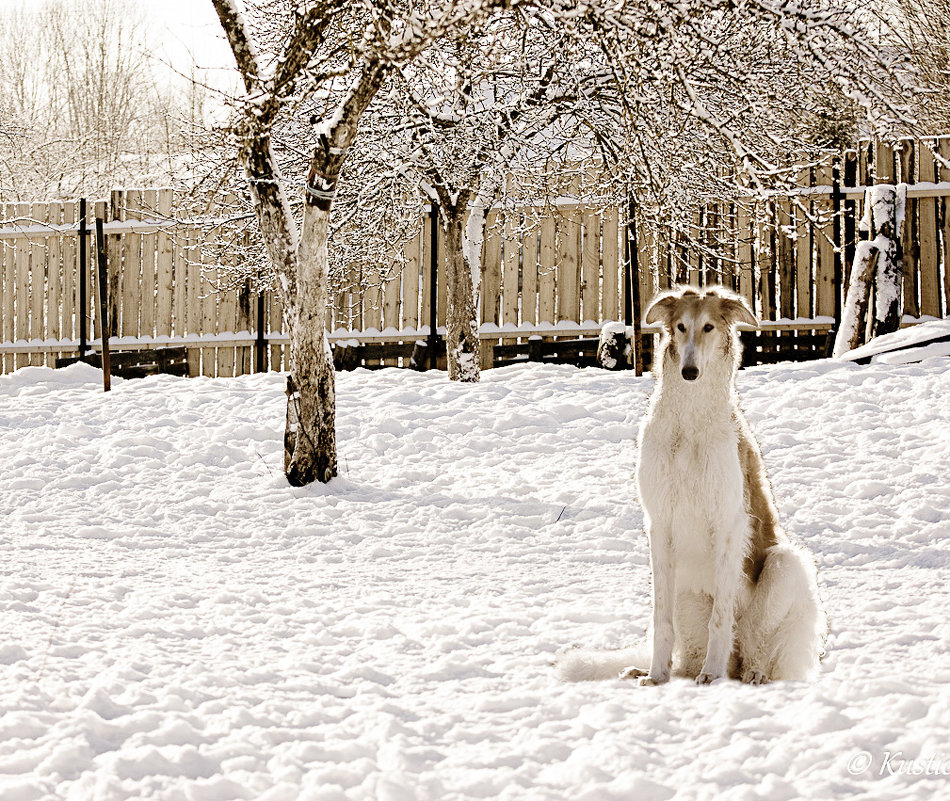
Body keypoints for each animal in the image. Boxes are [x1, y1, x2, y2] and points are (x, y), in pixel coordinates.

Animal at [556, 284, 824, 684]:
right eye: (681, 327)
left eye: (709, 327)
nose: (689, 371)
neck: (688, 422)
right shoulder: (659, 524)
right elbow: (660, 620)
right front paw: (655, 675)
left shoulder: (728, 524)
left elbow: (721, 620)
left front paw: (711, 676)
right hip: (686, 592)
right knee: (690, 656)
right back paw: (653, 671)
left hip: (785, 564)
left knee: (757, 646)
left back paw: (748, 673)